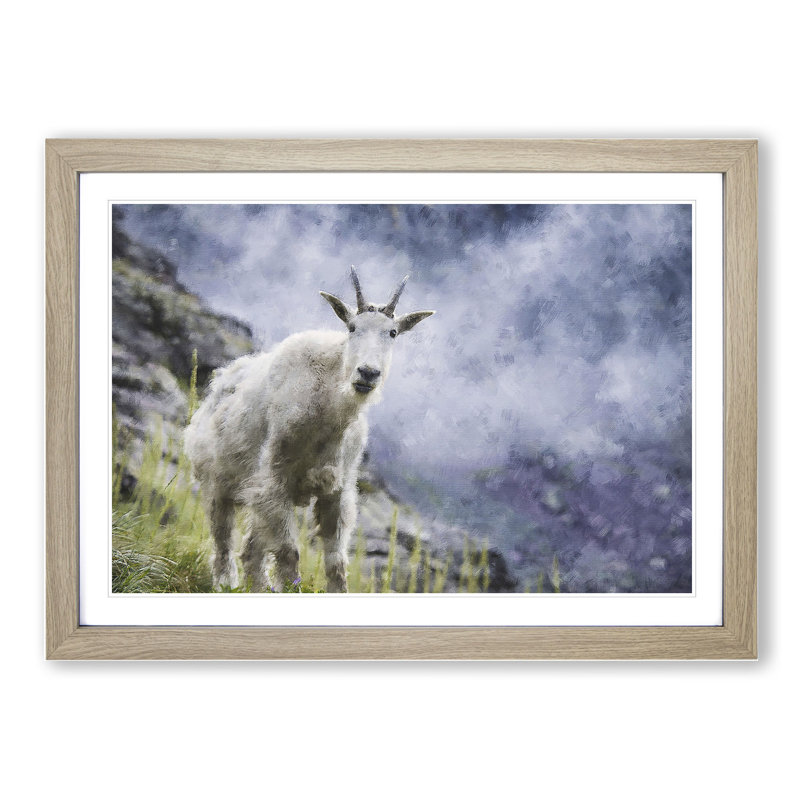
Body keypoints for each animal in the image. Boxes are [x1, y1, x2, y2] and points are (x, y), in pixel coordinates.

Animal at [184, 267, 435, 592]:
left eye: (392, 333)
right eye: (352, 327)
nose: (367, 373)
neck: (328, 410)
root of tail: (219, 382)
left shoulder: (337, 491)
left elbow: (336, 562)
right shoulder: (275, 479)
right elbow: (289, 552)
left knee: (251, 550)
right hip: (217, 481)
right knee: (223, 540)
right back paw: (225, 582)